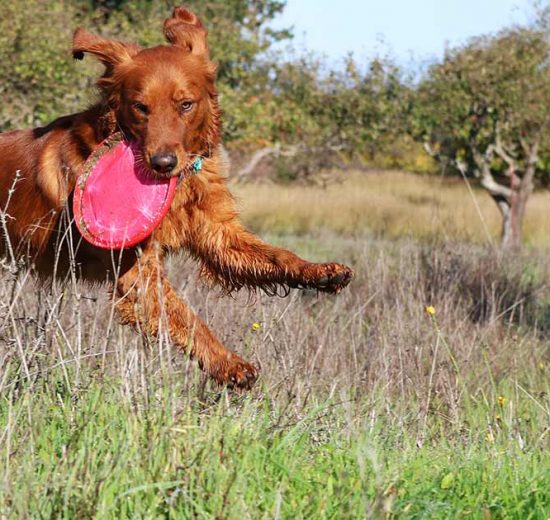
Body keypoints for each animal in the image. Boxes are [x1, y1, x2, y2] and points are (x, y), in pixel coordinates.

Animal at [0, 7, 354, 390]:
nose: (162, 163)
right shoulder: (138, 271)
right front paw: (228, 363)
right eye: (141, 107)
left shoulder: (218, 234)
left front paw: (321, 272)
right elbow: (187, 316)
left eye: (186, 105)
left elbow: (276, 255)